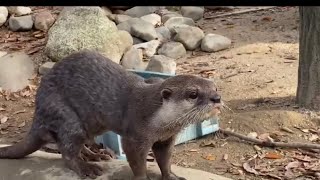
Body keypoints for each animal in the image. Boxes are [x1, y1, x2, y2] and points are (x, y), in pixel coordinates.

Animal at [0, 50, 221, 179]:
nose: (217, 98)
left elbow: (165, 160)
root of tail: (38, 111)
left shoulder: (166, 139)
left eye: (215, 87)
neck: (157, 120)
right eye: (193, 94)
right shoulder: (135, 137)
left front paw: (171, 176)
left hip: (90, 125)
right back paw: (87, 168)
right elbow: (137, 164)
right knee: (67, 152)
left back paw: (97, 155)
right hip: (66, 117)